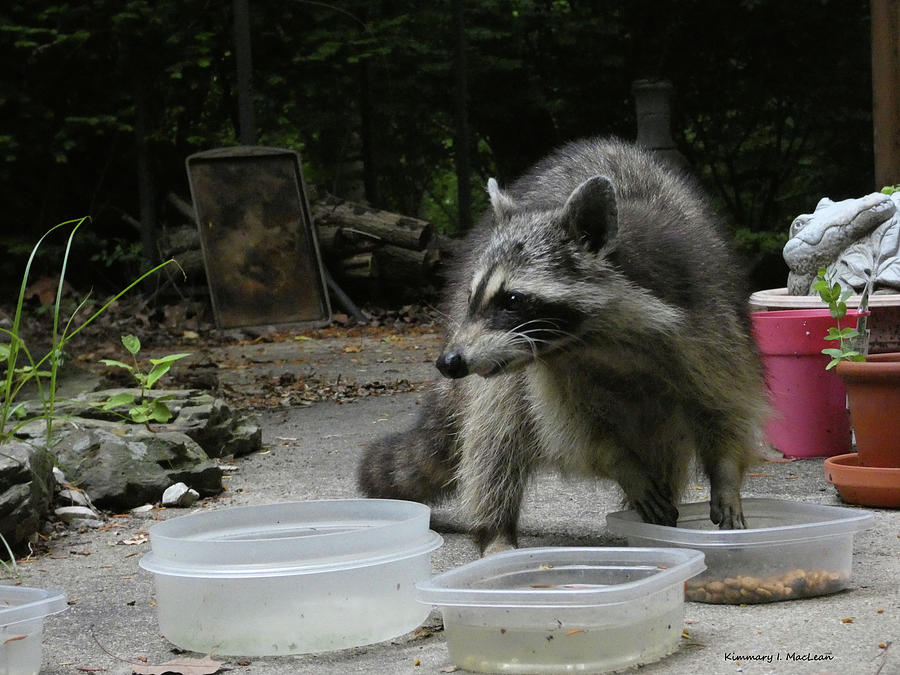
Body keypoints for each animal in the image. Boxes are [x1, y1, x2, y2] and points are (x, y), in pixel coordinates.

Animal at [358, 136, 768, 556]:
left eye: (511, 300)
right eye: (476, 297)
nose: (449, 362)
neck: (599, 340)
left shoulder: (711, 321)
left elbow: (723, 406)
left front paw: (726, 475)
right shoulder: (547, 371)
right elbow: (572, 432)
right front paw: (622, 464)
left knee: (662, 441)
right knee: (496, 431)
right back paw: (496, 529)